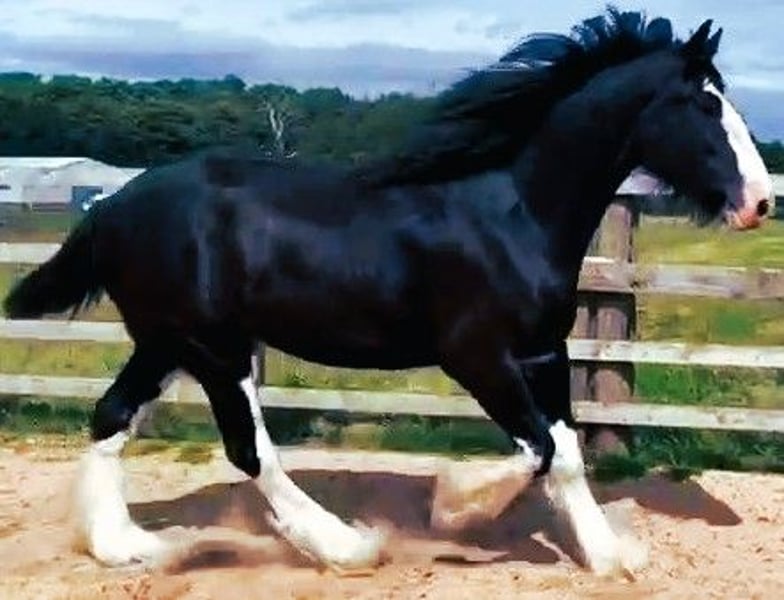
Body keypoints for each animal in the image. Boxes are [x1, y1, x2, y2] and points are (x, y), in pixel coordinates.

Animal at [3, 9, 773, 577]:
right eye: (703, 103)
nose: (760, 202)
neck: (511, 210)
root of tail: (110, 206)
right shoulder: (476, 355)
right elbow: (538, 451)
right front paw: (456, 509)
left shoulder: (544, 353)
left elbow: (567, 451)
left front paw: (610, 555)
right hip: (213, 349)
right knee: (249, 450)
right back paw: (346, 545)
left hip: (167, 343)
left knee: (110, 416)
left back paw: (125, 546)